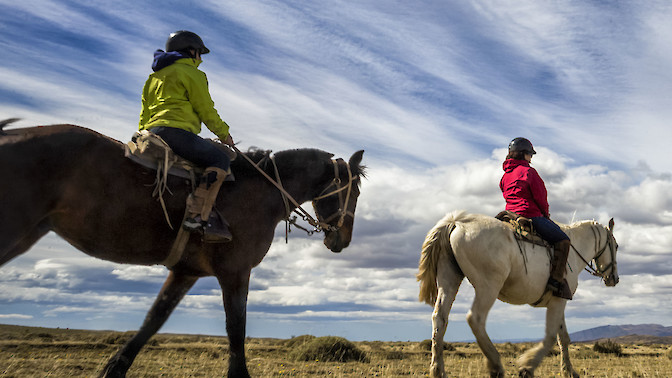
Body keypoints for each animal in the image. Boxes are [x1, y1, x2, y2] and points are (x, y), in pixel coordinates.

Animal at [0, 122, 364, 378]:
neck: (260, 193)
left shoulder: (185, 273)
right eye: (355, 193)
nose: (343, 240)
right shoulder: (235, 272)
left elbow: (154, 319)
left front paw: (114, 369)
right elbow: (236, 328)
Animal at [418, 211, 616, 376]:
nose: (614, 278)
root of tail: (457, 223)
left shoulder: (559, 300)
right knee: (475, 318)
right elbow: (551, 336)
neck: (575, 248)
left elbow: (563, 338)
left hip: (449, 279)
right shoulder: (558, 302)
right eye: (616, 246)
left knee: (440, 318)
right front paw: (527, 366)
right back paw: (496, 365)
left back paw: (437, 370)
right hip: (488, 287)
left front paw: (569, 371)